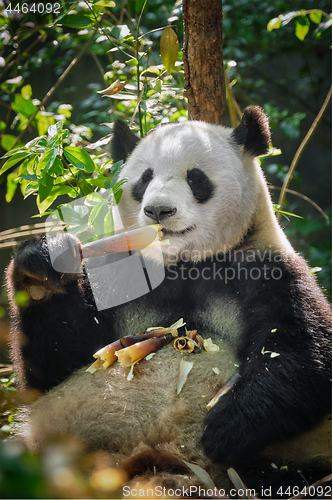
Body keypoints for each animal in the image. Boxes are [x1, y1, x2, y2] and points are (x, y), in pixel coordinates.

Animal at [4, 106, 330, 496]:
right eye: (144, 179)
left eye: (196, 178)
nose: (158, 211)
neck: (181, 264)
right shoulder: (118, 277)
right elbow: (53, 367)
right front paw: (41, 269)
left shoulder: (266, 270)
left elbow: (302, 354)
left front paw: (225, 427)